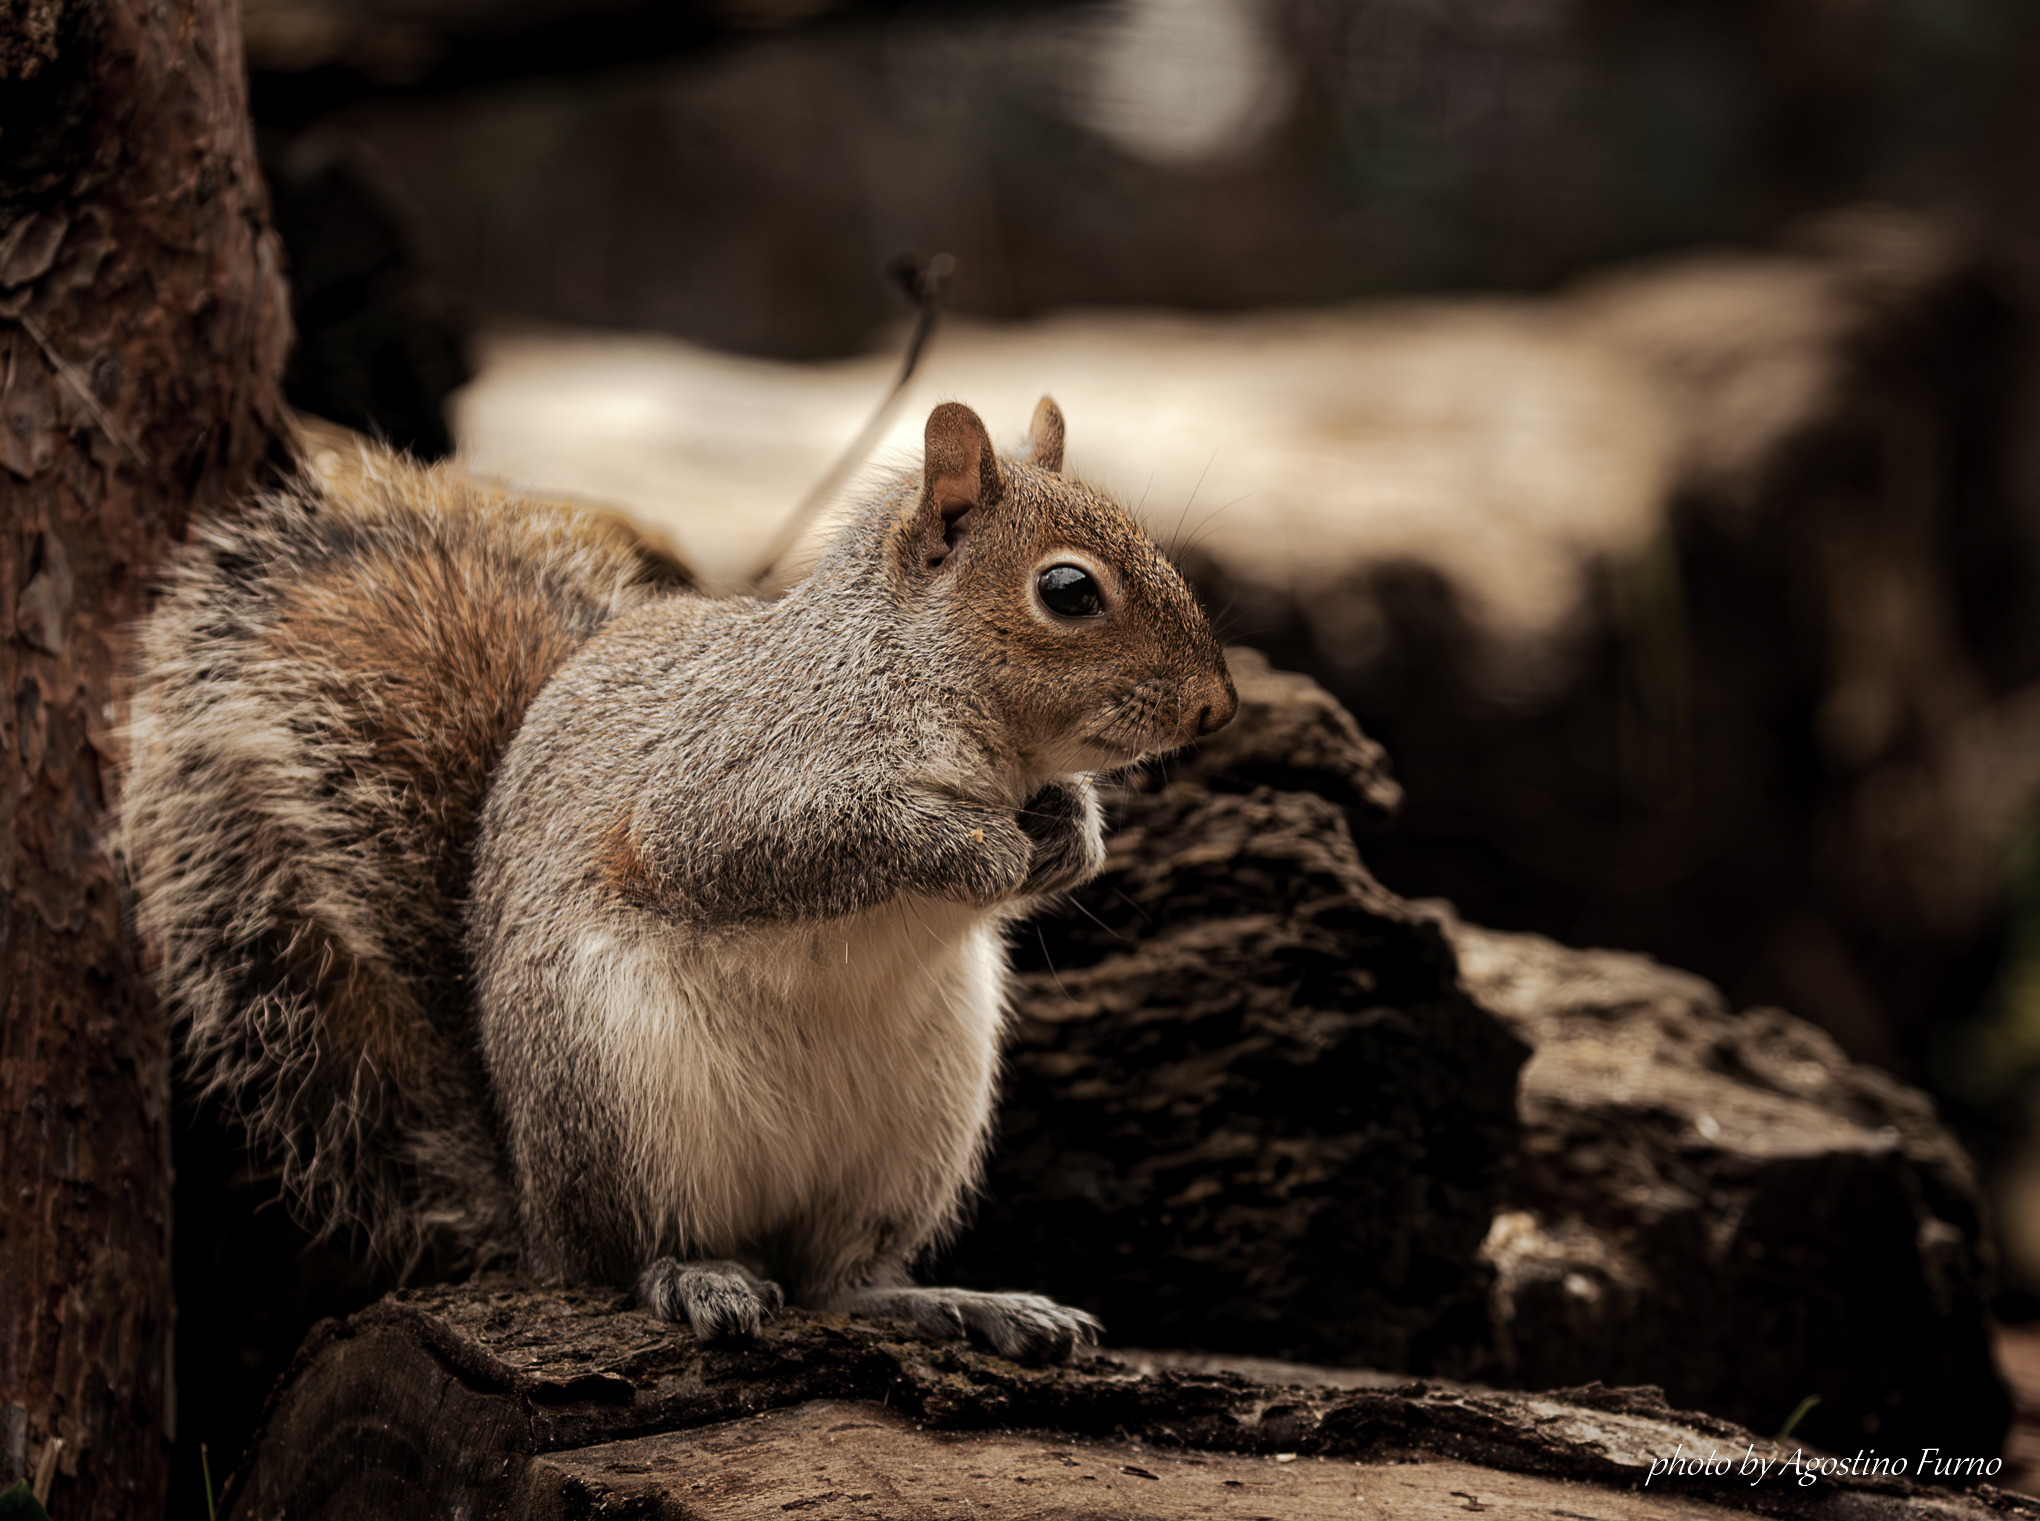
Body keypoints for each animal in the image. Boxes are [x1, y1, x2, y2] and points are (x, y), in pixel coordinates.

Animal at [119, 396, 1237, 1362]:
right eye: (1068, 591)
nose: (1217, 708)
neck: (930, 684)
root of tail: (535, 1209)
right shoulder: (732, 776)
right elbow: (759, 844)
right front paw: (971, 849)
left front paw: (1071, 836)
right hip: (623, 1095)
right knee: (630, 1256)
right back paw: (693, 1277)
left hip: (919, 1125)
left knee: (837, 1279)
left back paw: (963, 1303)